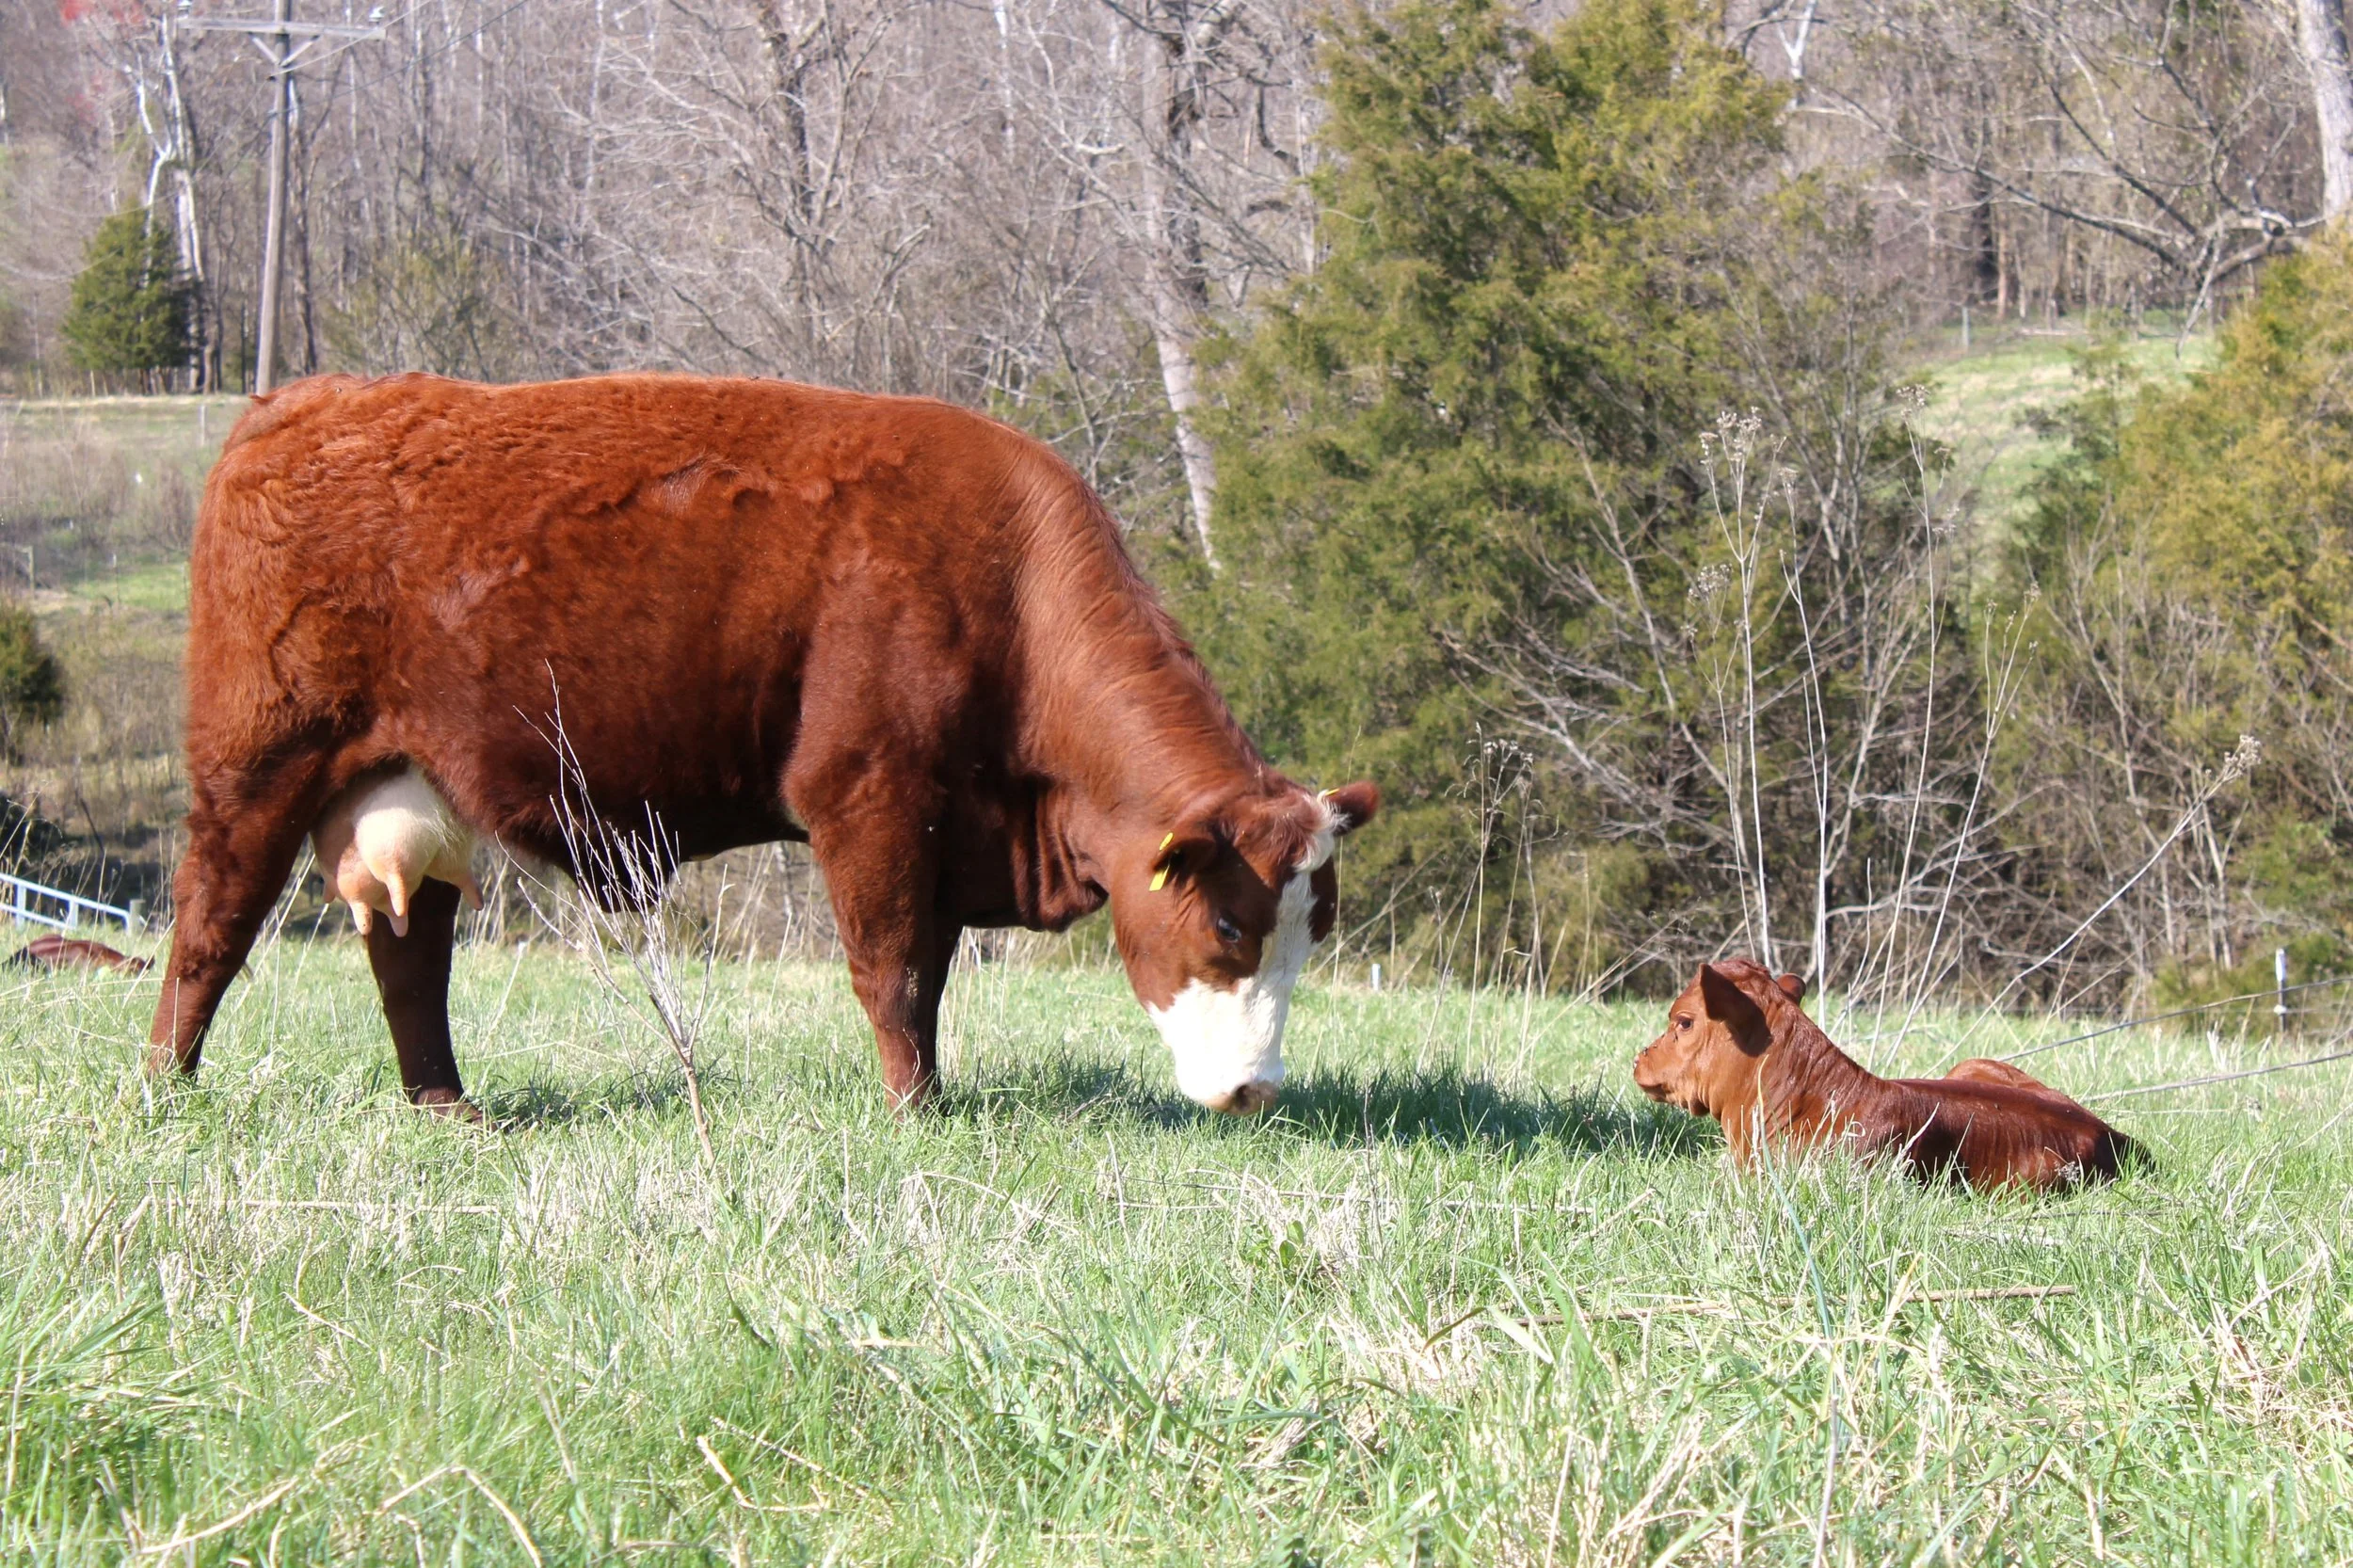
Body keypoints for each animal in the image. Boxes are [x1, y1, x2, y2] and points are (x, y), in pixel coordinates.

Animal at [146, 372, 1379, 1121]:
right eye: (1228, 924)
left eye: (1311, 932)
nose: (1256, 1091)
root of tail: (304, 400)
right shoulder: (870, 800)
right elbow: (891, 971)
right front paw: (913, 1113)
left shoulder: (939, 835)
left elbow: (929, 977)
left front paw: (930, 1095)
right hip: (254, 768)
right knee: (210, 925)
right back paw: (167, 1086)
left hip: (405, 789)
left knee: (410, 954)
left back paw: (449, 1109)